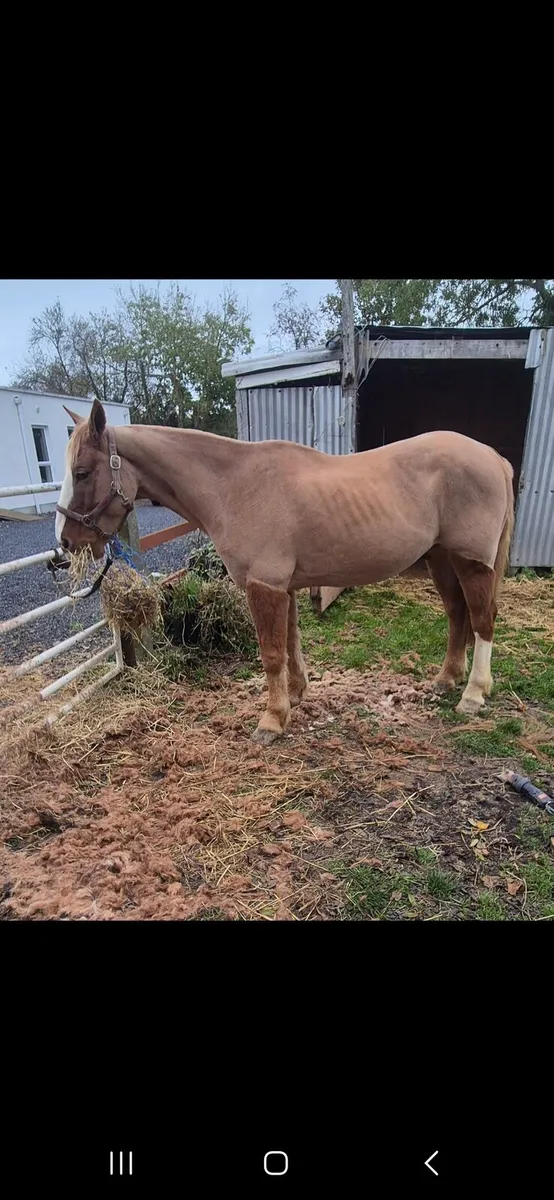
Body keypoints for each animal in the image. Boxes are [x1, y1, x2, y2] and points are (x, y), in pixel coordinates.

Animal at [56, 400, 515, 745]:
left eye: (82, 472)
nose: (65, 543)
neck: (233, 487)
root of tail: (493, 457)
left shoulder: (265, 585)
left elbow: (271, 653)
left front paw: (272, 720)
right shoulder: (286, 587)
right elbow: (291, 642)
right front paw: (295, 696)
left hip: (471, 563)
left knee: (482, 620)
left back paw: (474, 694)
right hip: (442, 560)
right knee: (458, 616)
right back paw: (447, 679)